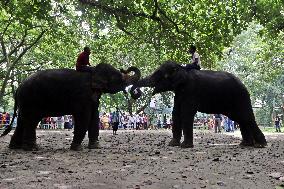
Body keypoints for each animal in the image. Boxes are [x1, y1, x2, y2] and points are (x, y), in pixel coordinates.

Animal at [1, 63, 141, 151]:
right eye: (119, 77)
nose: (124, 68)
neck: (93, 70)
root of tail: (18, 88)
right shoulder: (82, 96)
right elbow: (84, 118)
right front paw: (76, 148)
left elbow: (94, 117)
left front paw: (95, 146)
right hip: (31, 101)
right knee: (31, 121)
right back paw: (32, 148)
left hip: (24, 103)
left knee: (22, 121)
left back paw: (15, 147)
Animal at [130, 60, 266, 148]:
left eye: (160, 75)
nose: (136, 92)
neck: (182, 68)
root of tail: (243, 84)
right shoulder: (179, 93)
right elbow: (176, 113)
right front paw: (172, 144)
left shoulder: (191, 91)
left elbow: (186, 113)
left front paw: (185, 146)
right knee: (240, 119)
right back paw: (245, 144)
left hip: (240, 97)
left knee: (246, 117)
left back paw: (260, 145)